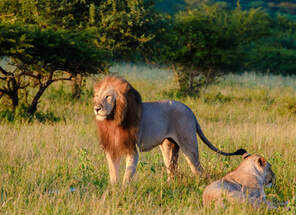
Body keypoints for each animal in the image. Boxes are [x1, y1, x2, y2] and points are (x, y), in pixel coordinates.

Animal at [93, 76, 245, 185]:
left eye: (108, 97)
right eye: (97, 96)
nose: (97, 108)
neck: (112, 120)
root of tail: (189, 109)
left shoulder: (132, 149)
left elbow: (128, 173)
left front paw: (124, 190)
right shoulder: (111, 149)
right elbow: (113, 172)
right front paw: (113, 189)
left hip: (188, 145)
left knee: (198, 169)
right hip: (169, 146)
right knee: (172, 170)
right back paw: (169, 186)